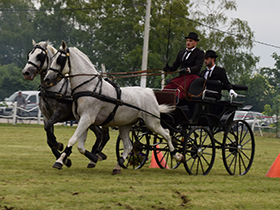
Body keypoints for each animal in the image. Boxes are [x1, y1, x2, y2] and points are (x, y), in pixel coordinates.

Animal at [22, 40, 109, 168]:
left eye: (39, 56)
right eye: (29, 55)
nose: (26, 73)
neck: (53, 88)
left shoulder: (60, 113)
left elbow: (49, 130)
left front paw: (59, 146)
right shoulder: (47, 116)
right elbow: (48, 136)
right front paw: (64, 158)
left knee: (104, 136)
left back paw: (96, 156)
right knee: (100, 134)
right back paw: (94, 155)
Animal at [43, 40, 184, 174]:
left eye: (59, 59)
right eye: (52, 58)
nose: (47, 79)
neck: (90, 87)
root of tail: (149, 92)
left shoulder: (87, 119)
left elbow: (73, 140)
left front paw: (60, 161)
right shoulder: (82, 120)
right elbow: (80, 146)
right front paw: (93, 158)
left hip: (152, 122)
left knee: (167, 134)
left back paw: (177, 156)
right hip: (125, 126)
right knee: (129, 146)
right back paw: (118, 165)